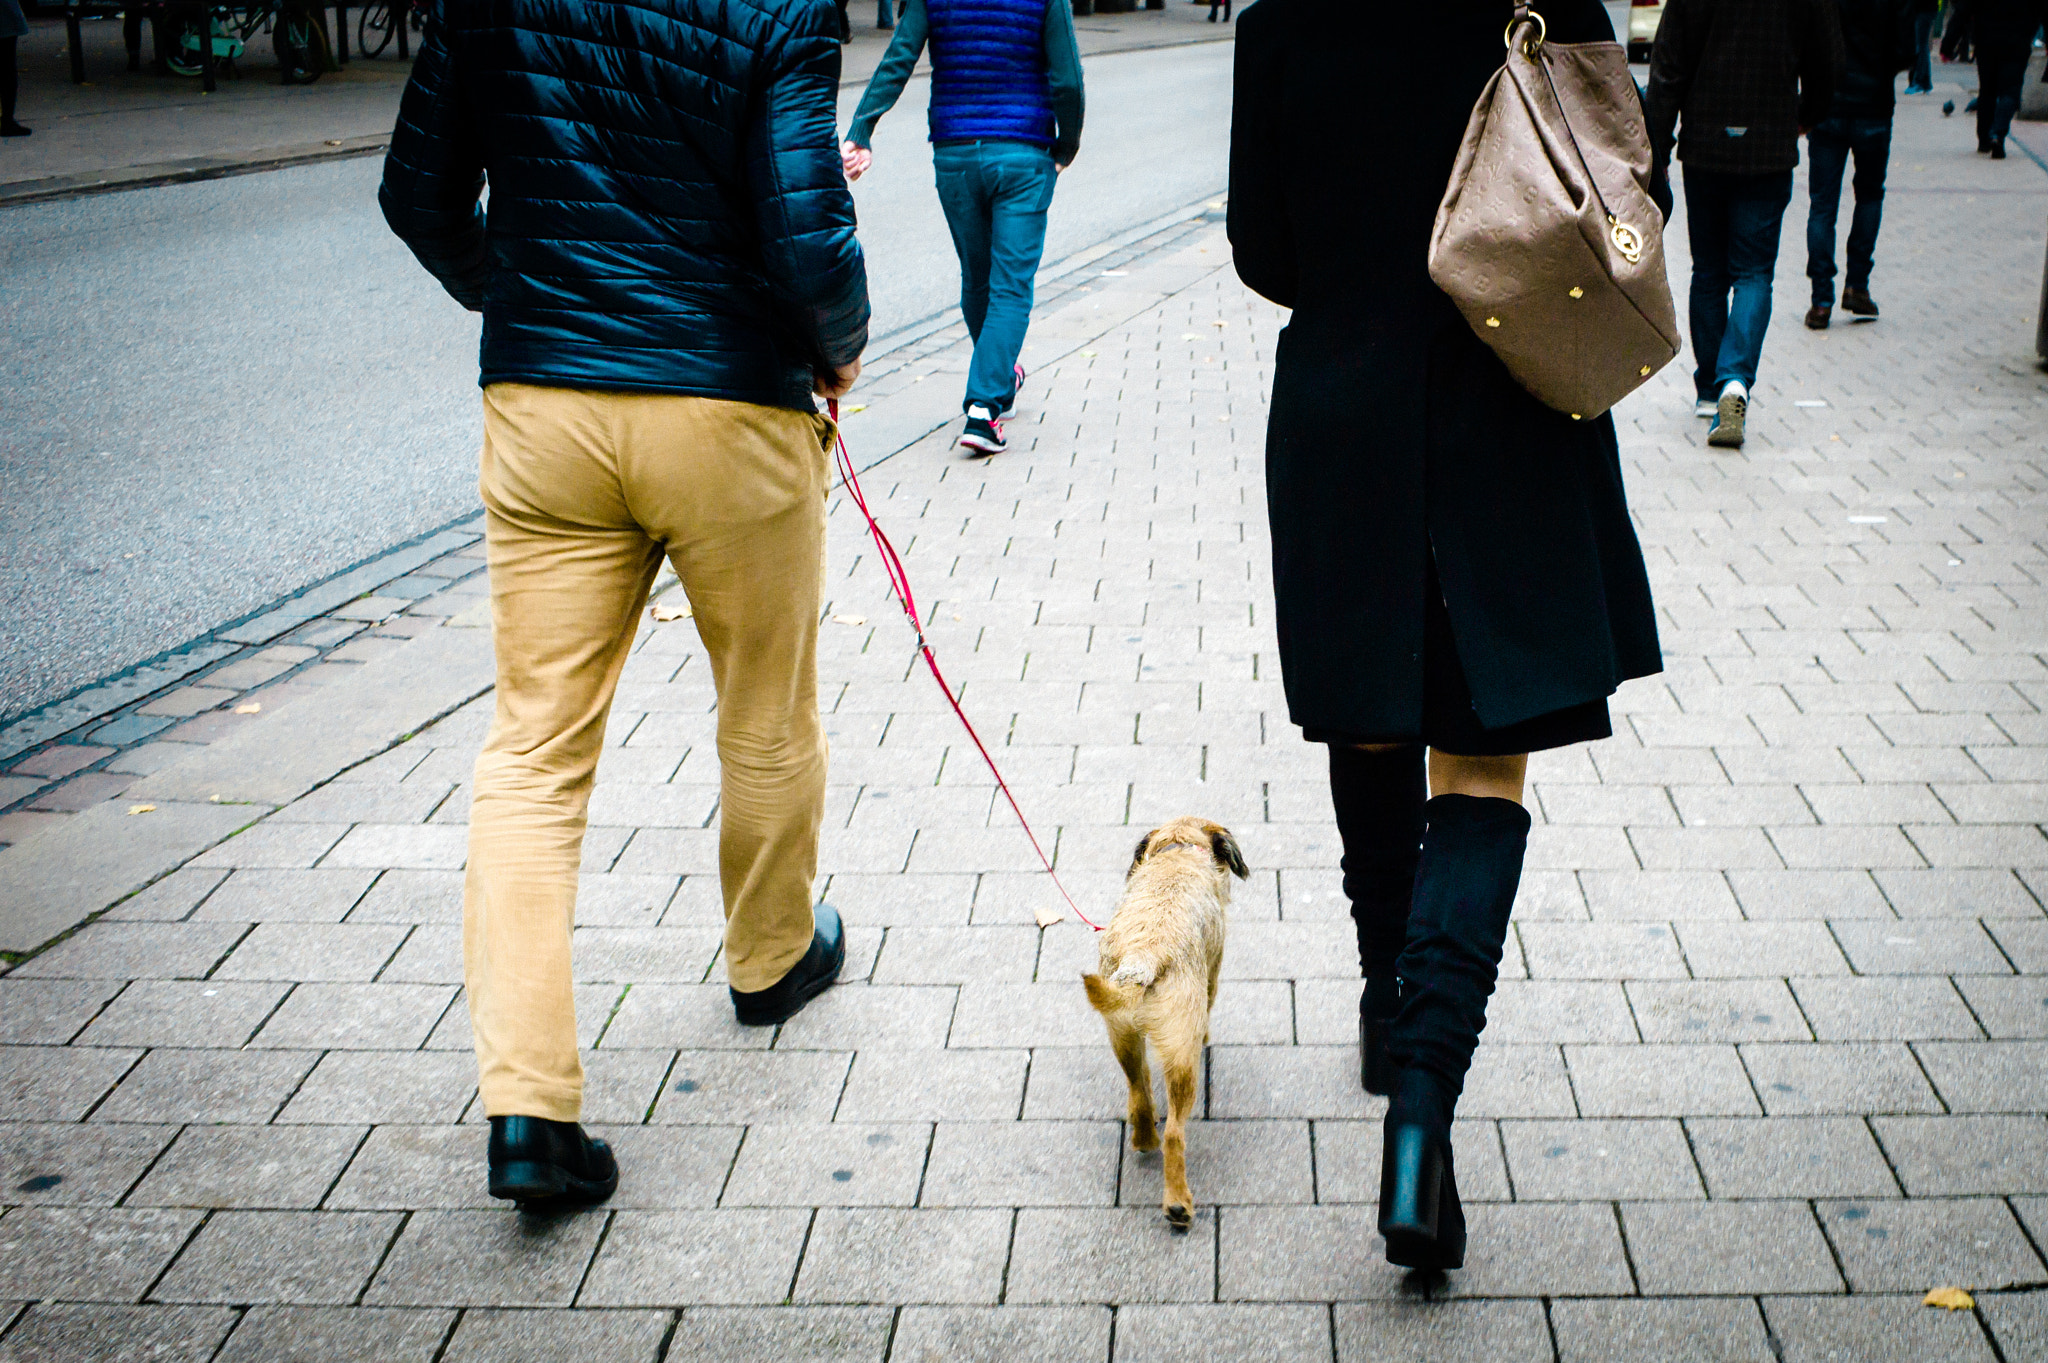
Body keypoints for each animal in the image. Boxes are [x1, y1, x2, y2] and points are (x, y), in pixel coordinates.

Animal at [1073, 810, 1245, 1227]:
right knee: (1175, 1134)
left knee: (1139, 1090)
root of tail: (1145, 955)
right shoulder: (1213, 970)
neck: (1177, 850)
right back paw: (1178, 1203)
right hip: (1183, 1063)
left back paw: (1142, 1138)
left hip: (1122, 1035)